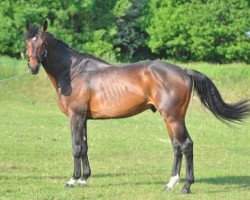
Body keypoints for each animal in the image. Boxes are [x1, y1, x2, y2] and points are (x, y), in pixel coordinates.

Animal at [24, 20, 249, 194]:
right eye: (27, 43)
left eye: (43, 43)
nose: (33, 67)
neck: (73, 72)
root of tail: (183, 71)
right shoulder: (83, 118)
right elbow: (85, 146)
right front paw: (84, 179)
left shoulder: (76, 116)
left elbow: (77, 147)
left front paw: (73, 180)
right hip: (170, 119)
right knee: (177, 146)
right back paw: (170, 184)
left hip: (174, 117)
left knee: (186, 145)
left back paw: (186, 186)